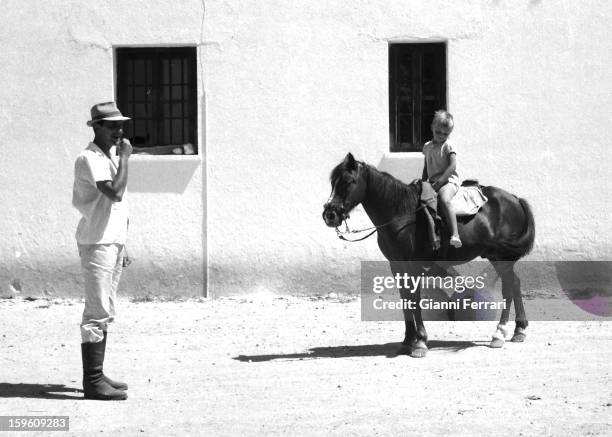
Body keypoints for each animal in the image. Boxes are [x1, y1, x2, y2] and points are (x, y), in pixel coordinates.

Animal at [322, 153, 532, 358]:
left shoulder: (413, 265)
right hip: (496, 256)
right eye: (333, 182)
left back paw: (499, 334)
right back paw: (519, 330)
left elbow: (415, 300)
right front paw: (407, 341)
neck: (403, 214)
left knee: (508, 288)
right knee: (515, 283)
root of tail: (515, 198)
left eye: (349, 181)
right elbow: (405, 299)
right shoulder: (396, 265)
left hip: (502, 257)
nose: (329, 215)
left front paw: (420, 342)